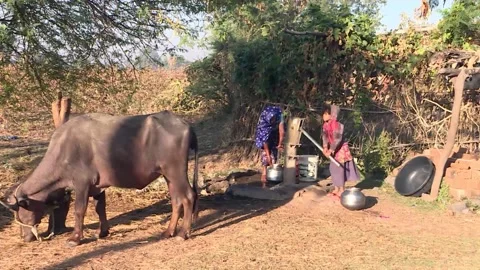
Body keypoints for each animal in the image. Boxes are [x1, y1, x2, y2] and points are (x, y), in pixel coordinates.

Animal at [0, 110, 199, 246]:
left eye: (20, 212)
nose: (24, 237)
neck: (63, 149)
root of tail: (185, 124)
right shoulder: (97, 187)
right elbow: (100, 208)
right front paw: (102, 232)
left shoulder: (81, 183)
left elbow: (79, 210)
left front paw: (75, 238)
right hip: (168, 176)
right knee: (176, 200)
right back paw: (168, 232)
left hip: (176, 172)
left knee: (189, 196)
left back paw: (183, 233)